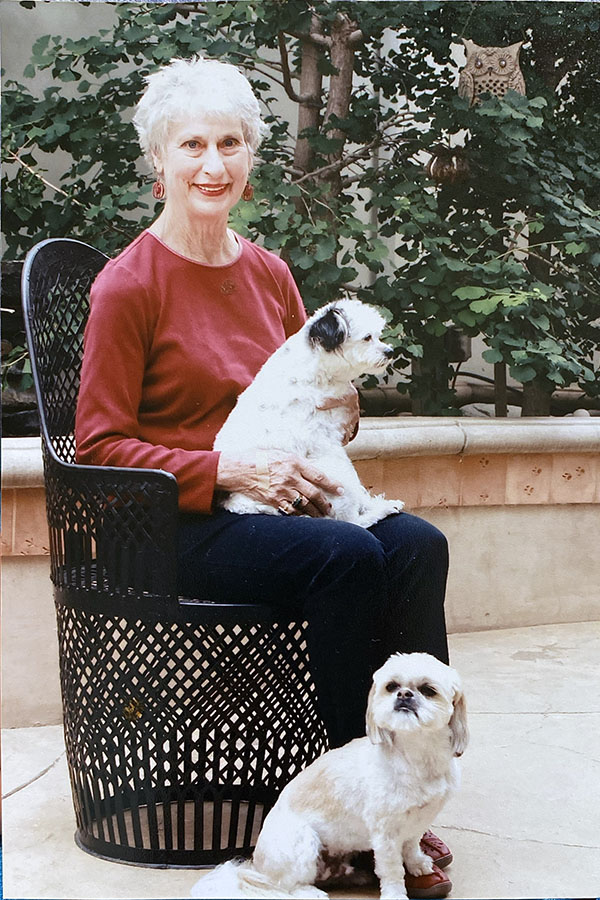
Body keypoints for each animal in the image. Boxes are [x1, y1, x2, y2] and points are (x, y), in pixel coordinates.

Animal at [192, 652, 468, 900]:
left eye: (428, 690)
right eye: (391, 687)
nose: (404, 695)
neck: (417, 755)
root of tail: (257, 868)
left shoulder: (417, 822)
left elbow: (410, 846)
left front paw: (417, 864)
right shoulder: (385, 835)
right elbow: (391, 871)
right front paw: (396, 894)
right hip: (303, 842)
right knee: (286, 886)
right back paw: (309, 892)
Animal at [213, 298, 406, 532]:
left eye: (378, 335)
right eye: (367, 337)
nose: (390, 351)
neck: (314, 366)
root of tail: (240, 503)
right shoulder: (325, 442)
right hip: (332, 471)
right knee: (353, 520)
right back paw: (380, 510)